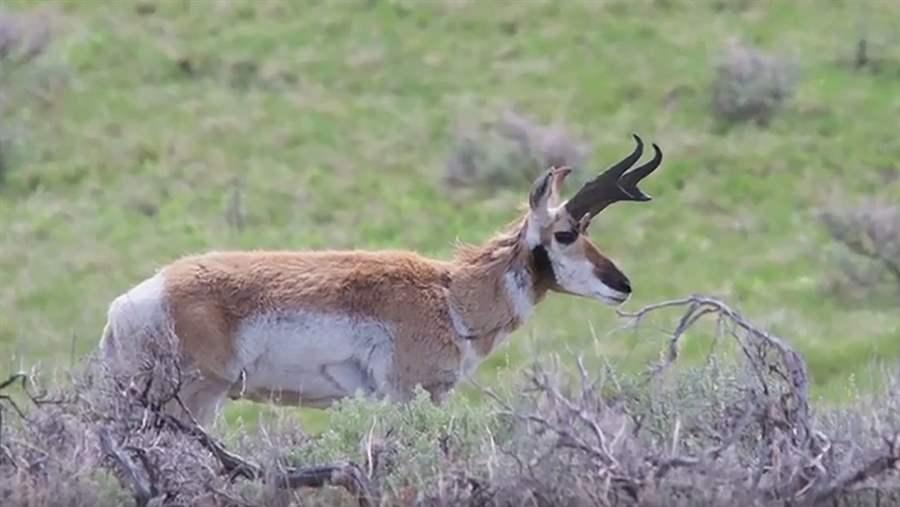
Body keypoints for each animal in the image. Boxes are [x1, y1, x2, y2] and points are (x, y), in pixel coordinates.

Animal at [100, 134, 660, 424]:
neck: (451, 294)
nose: (624, 285)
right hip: (192, 402)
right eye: (565, 233)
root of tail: (129, 303)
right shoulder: (405, 395)